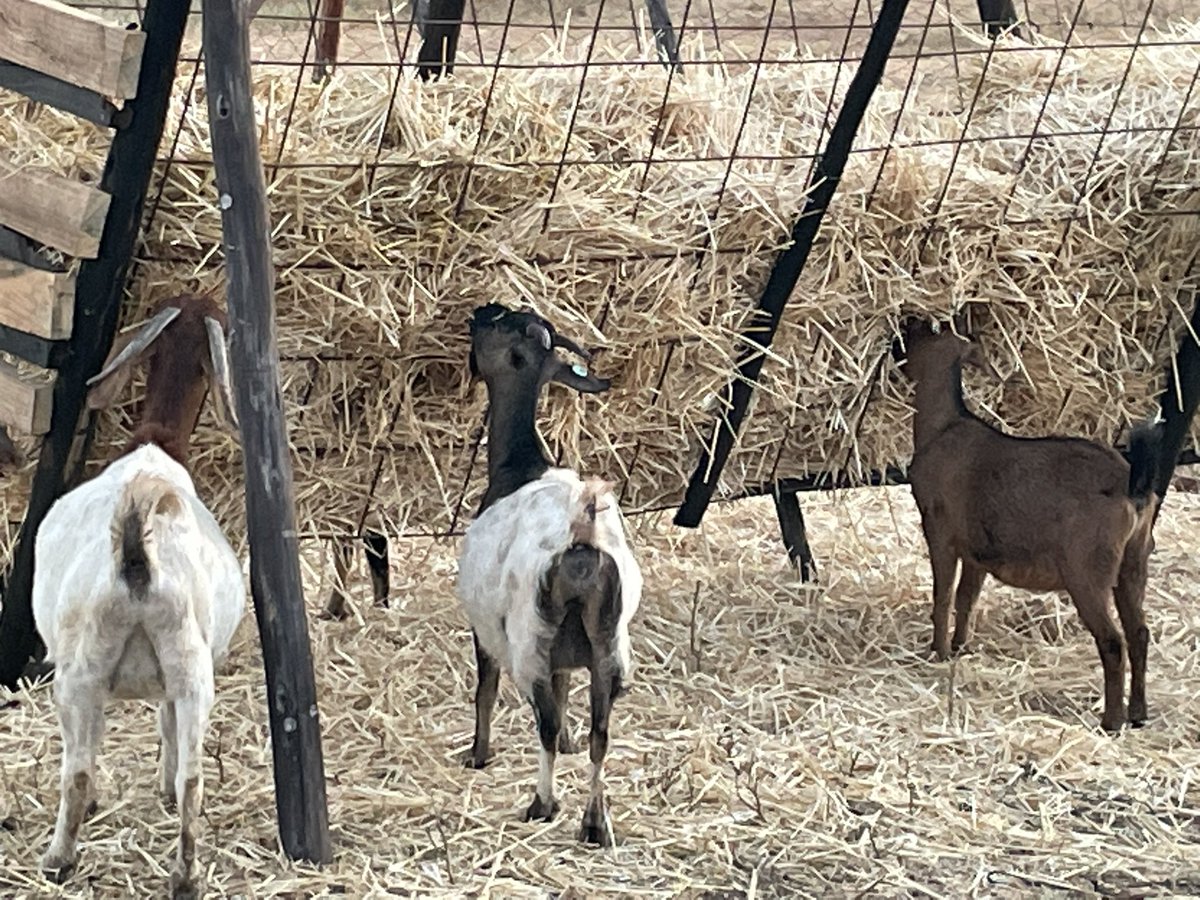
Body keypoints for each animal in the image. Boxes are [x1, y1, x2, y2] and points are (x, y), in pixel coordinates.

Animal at [32, 294, 246, 898]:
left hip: (81, 672)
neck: (154, 445)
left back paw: (59, 858)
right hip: (193, 670)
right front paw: (165, 792)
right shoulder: (176, 682)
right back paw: (185, 876)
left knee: (77, 770)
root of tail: (137, 567)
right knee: (195, 777)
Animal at [456, 303, 642, 846]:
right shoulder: (568, 655)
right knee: (602, 733)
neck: (519, 466)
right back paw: (595, 823)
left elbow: (486, 691)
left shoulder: (486, 629)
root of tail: (581, 538)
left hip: (530, 639)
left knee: (542, 721)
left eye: (498, 326)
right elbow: (567, 703)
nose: (477, 311)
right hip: (609, 648)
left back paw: (543, 803)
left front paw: (478, 754)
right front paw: (571, 741)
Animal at [893, 315, 1162, 732]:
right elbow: (966, 598)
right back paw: (1138, 714)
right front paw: (960, 647)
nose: (896, 342)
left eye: (923, 331)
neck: (945, 426)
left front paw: (937, 652)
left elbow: (942, 595)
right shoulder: (977, 549)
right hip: (1134, 563)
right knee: (1139, 634)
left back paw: (1111, 721)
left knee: (1113, 641)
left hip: (1087, 571)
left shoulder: (939, 530)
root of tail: (1132, 485)